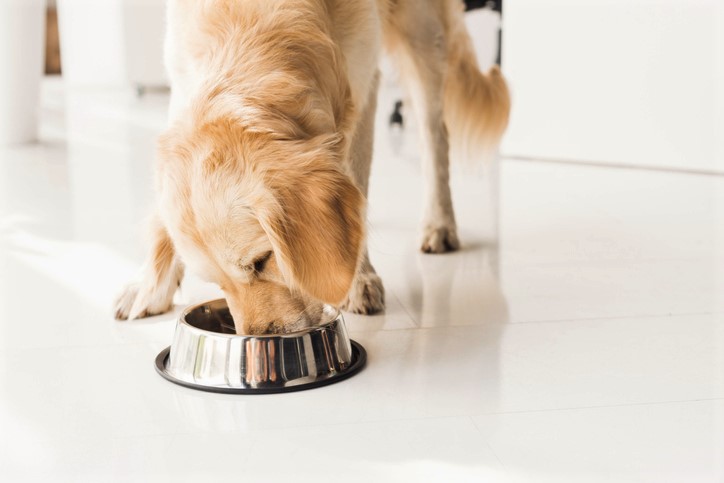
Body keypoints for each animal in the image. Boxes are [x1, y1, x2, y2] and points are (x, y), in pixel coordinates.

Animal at [113, 0, 510, 334]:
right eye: (216, 282)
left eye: (262, 261)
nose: (260, 339)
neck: (249, 21)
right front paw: (150, 284)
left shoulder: (362, 82)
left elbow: (356, 181)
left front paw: (357, 279)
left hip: (423, 32)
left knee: (434, 136)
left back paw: (439, 223)